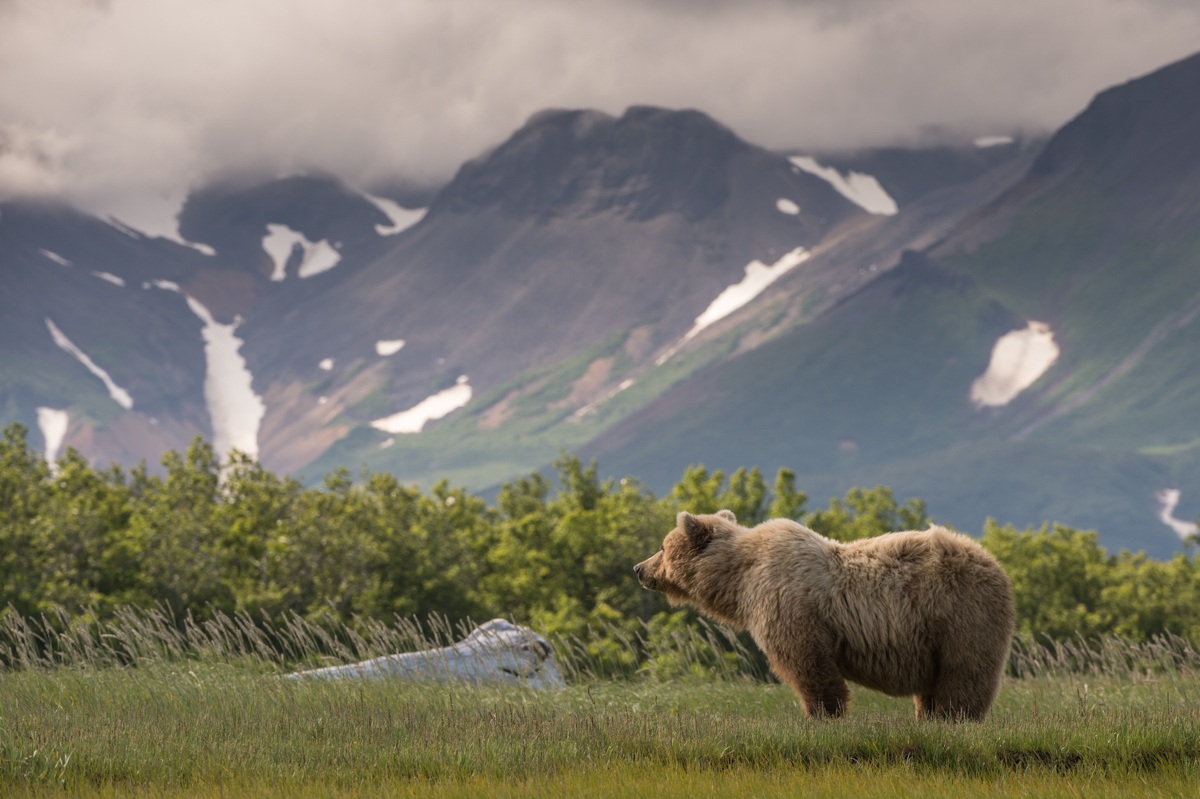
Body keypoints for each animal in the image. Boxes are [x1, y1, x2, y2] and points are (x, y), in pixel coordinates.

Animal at [634, 510, 1015, 720]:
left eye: (662, 547)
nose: (639, 568)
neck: (739, 580)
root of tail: (995, 563)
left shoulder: (788, 604)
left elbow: (807, 664)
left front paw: (821, 715)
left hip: (960, 615)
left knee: (964, 675)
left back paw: (954, 719)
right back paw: (928, 717)